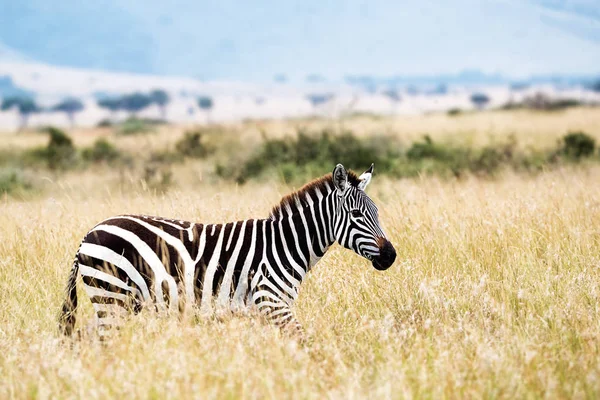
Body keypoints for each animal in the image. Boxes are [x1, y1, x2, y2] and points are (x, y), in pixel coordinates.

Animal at [59, 164, 398, 336]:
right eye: (356, 215)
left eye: (377, 212)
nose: (390, 256)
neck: (286, 243)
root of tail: (87, 235)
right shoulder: (271, 301)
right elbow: (303, 340)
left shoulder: (261, 309)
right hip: (112, 296)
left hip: (117, 300)